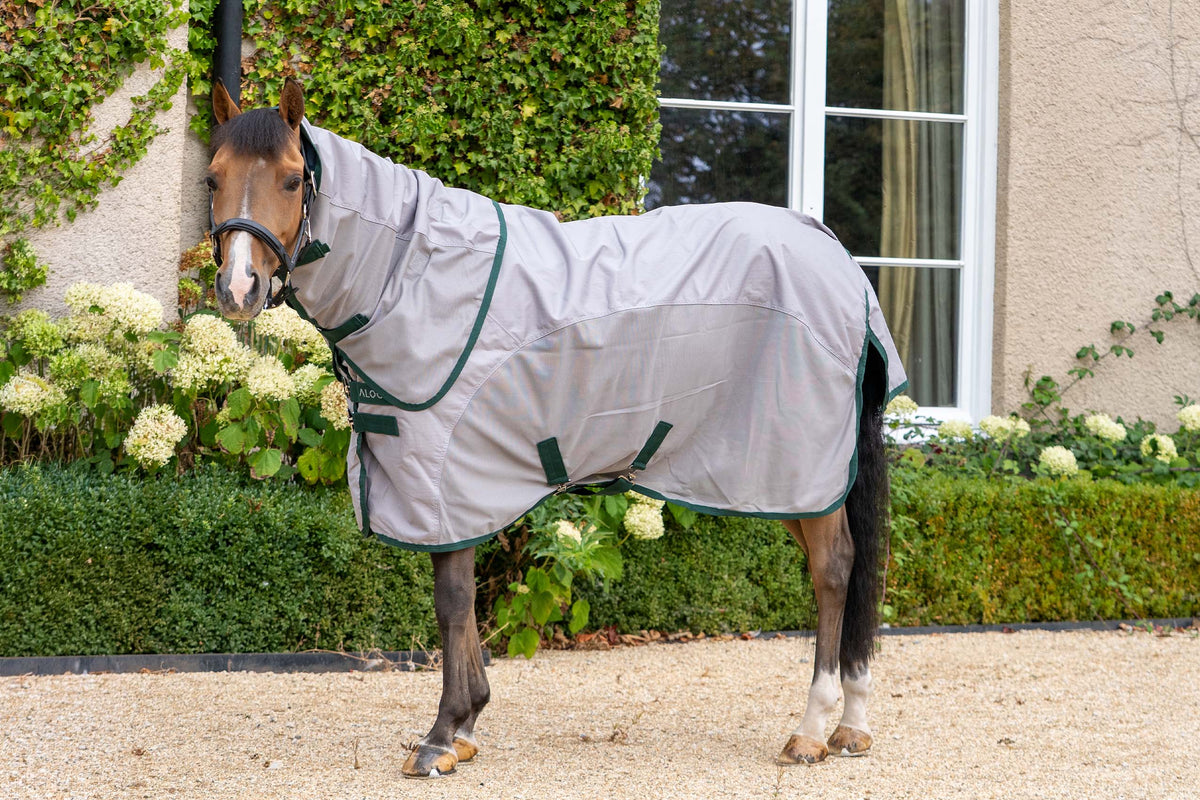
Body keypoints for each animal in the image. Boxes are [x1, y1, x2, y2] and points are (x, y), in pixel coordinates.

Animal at [206, 78, 908, 778]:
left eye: (292, 179)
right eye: (213, 178)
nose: (239, 289)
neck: (412, 275)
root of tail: (838, 259)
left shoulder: (446, 473)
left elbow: (451, 600)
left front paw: (442, 736)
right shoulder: (454, 484)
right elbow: (461, 602)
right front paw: (466, 726)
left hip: (800, 467)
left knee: (834, 569)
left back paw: (811, 730)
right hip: (794, 481)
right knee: (845, 569)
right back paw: (852, 726)